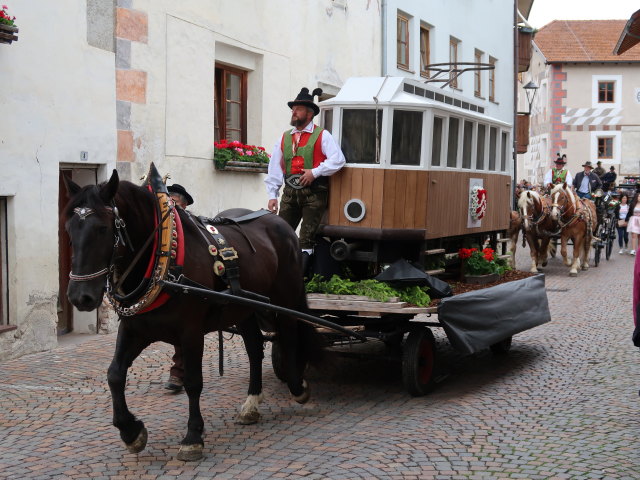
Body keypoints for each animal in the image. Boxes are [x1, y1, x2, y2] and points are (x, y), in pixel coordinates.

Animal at [62, 170, 322, 462]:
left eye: (103, 229)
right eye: (69, 228)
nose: (80, 297)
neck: (162, 259)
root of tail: (279, 222)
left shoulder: (191, 333)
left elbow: (193, 382)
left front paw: (193, 437)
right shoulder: (135, 329)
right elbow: (115, 374)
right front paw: (131, 432)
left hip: (284, 298)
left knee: (289, 337)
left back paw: (298, 388)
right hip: (244, 307)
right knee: (255, 348)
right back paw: (252, 402)